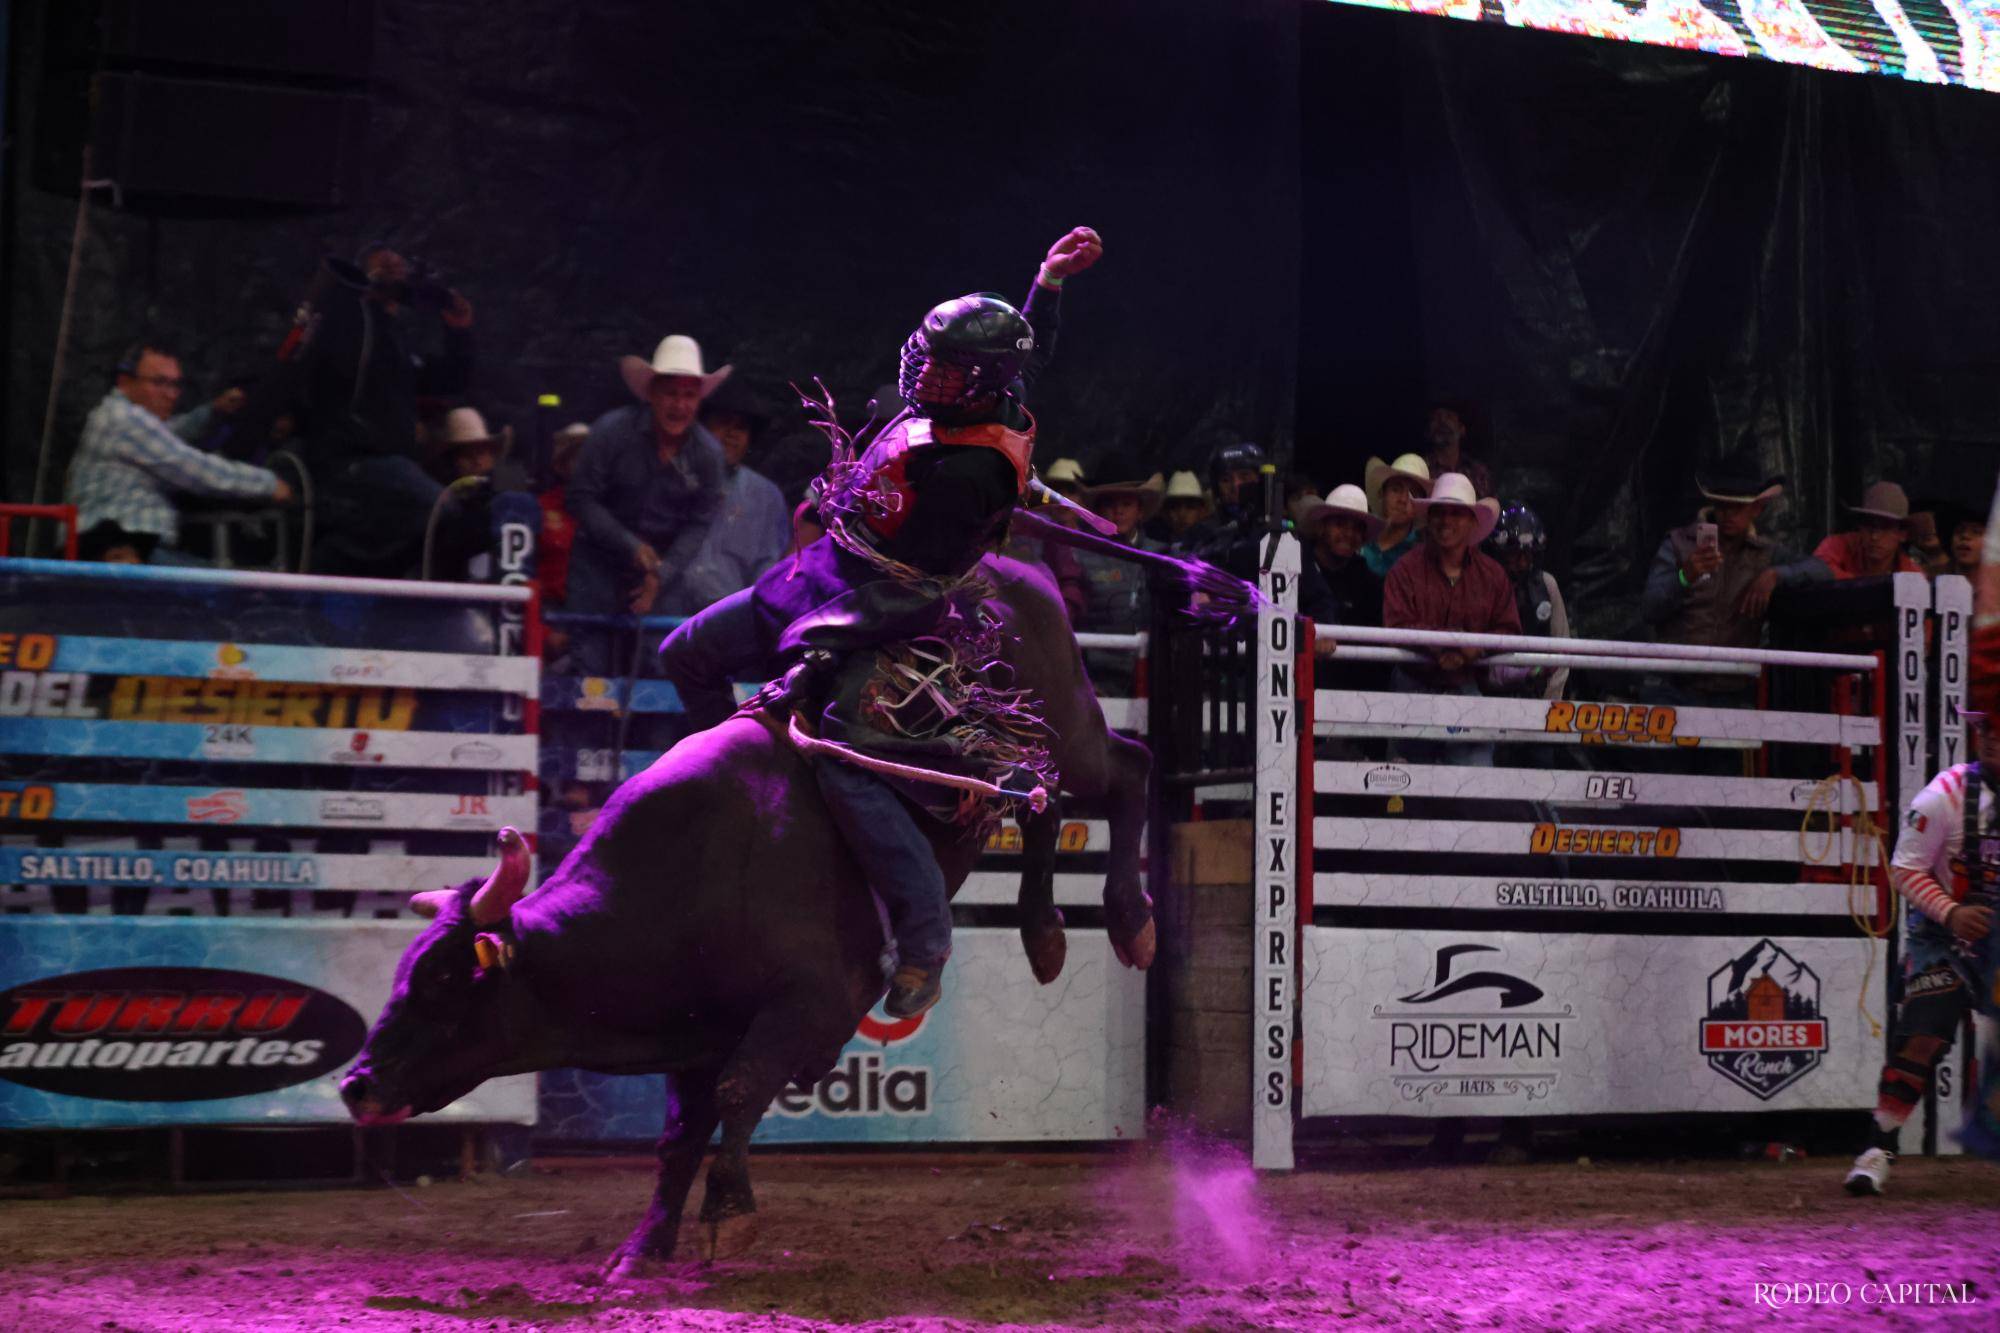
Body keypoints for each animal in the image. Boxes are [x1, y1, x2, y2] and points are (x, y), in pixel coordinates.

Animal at [338, 536, 1176, 1272]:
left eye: (445, 980)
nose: (356, 1084)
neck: (683, 881)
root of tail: (1015, 566)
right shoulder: (698, 1036)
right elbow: (680, 1135)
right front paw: (643, 1246)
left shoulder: (801, 1006)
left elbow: (740, 1093)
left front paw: (726, 1215)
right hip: (1034, 747)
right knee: (1042, 803)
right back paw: (1045, 937)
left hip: (1070, 724)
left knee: (1126, 768)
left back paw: (1130, 921)